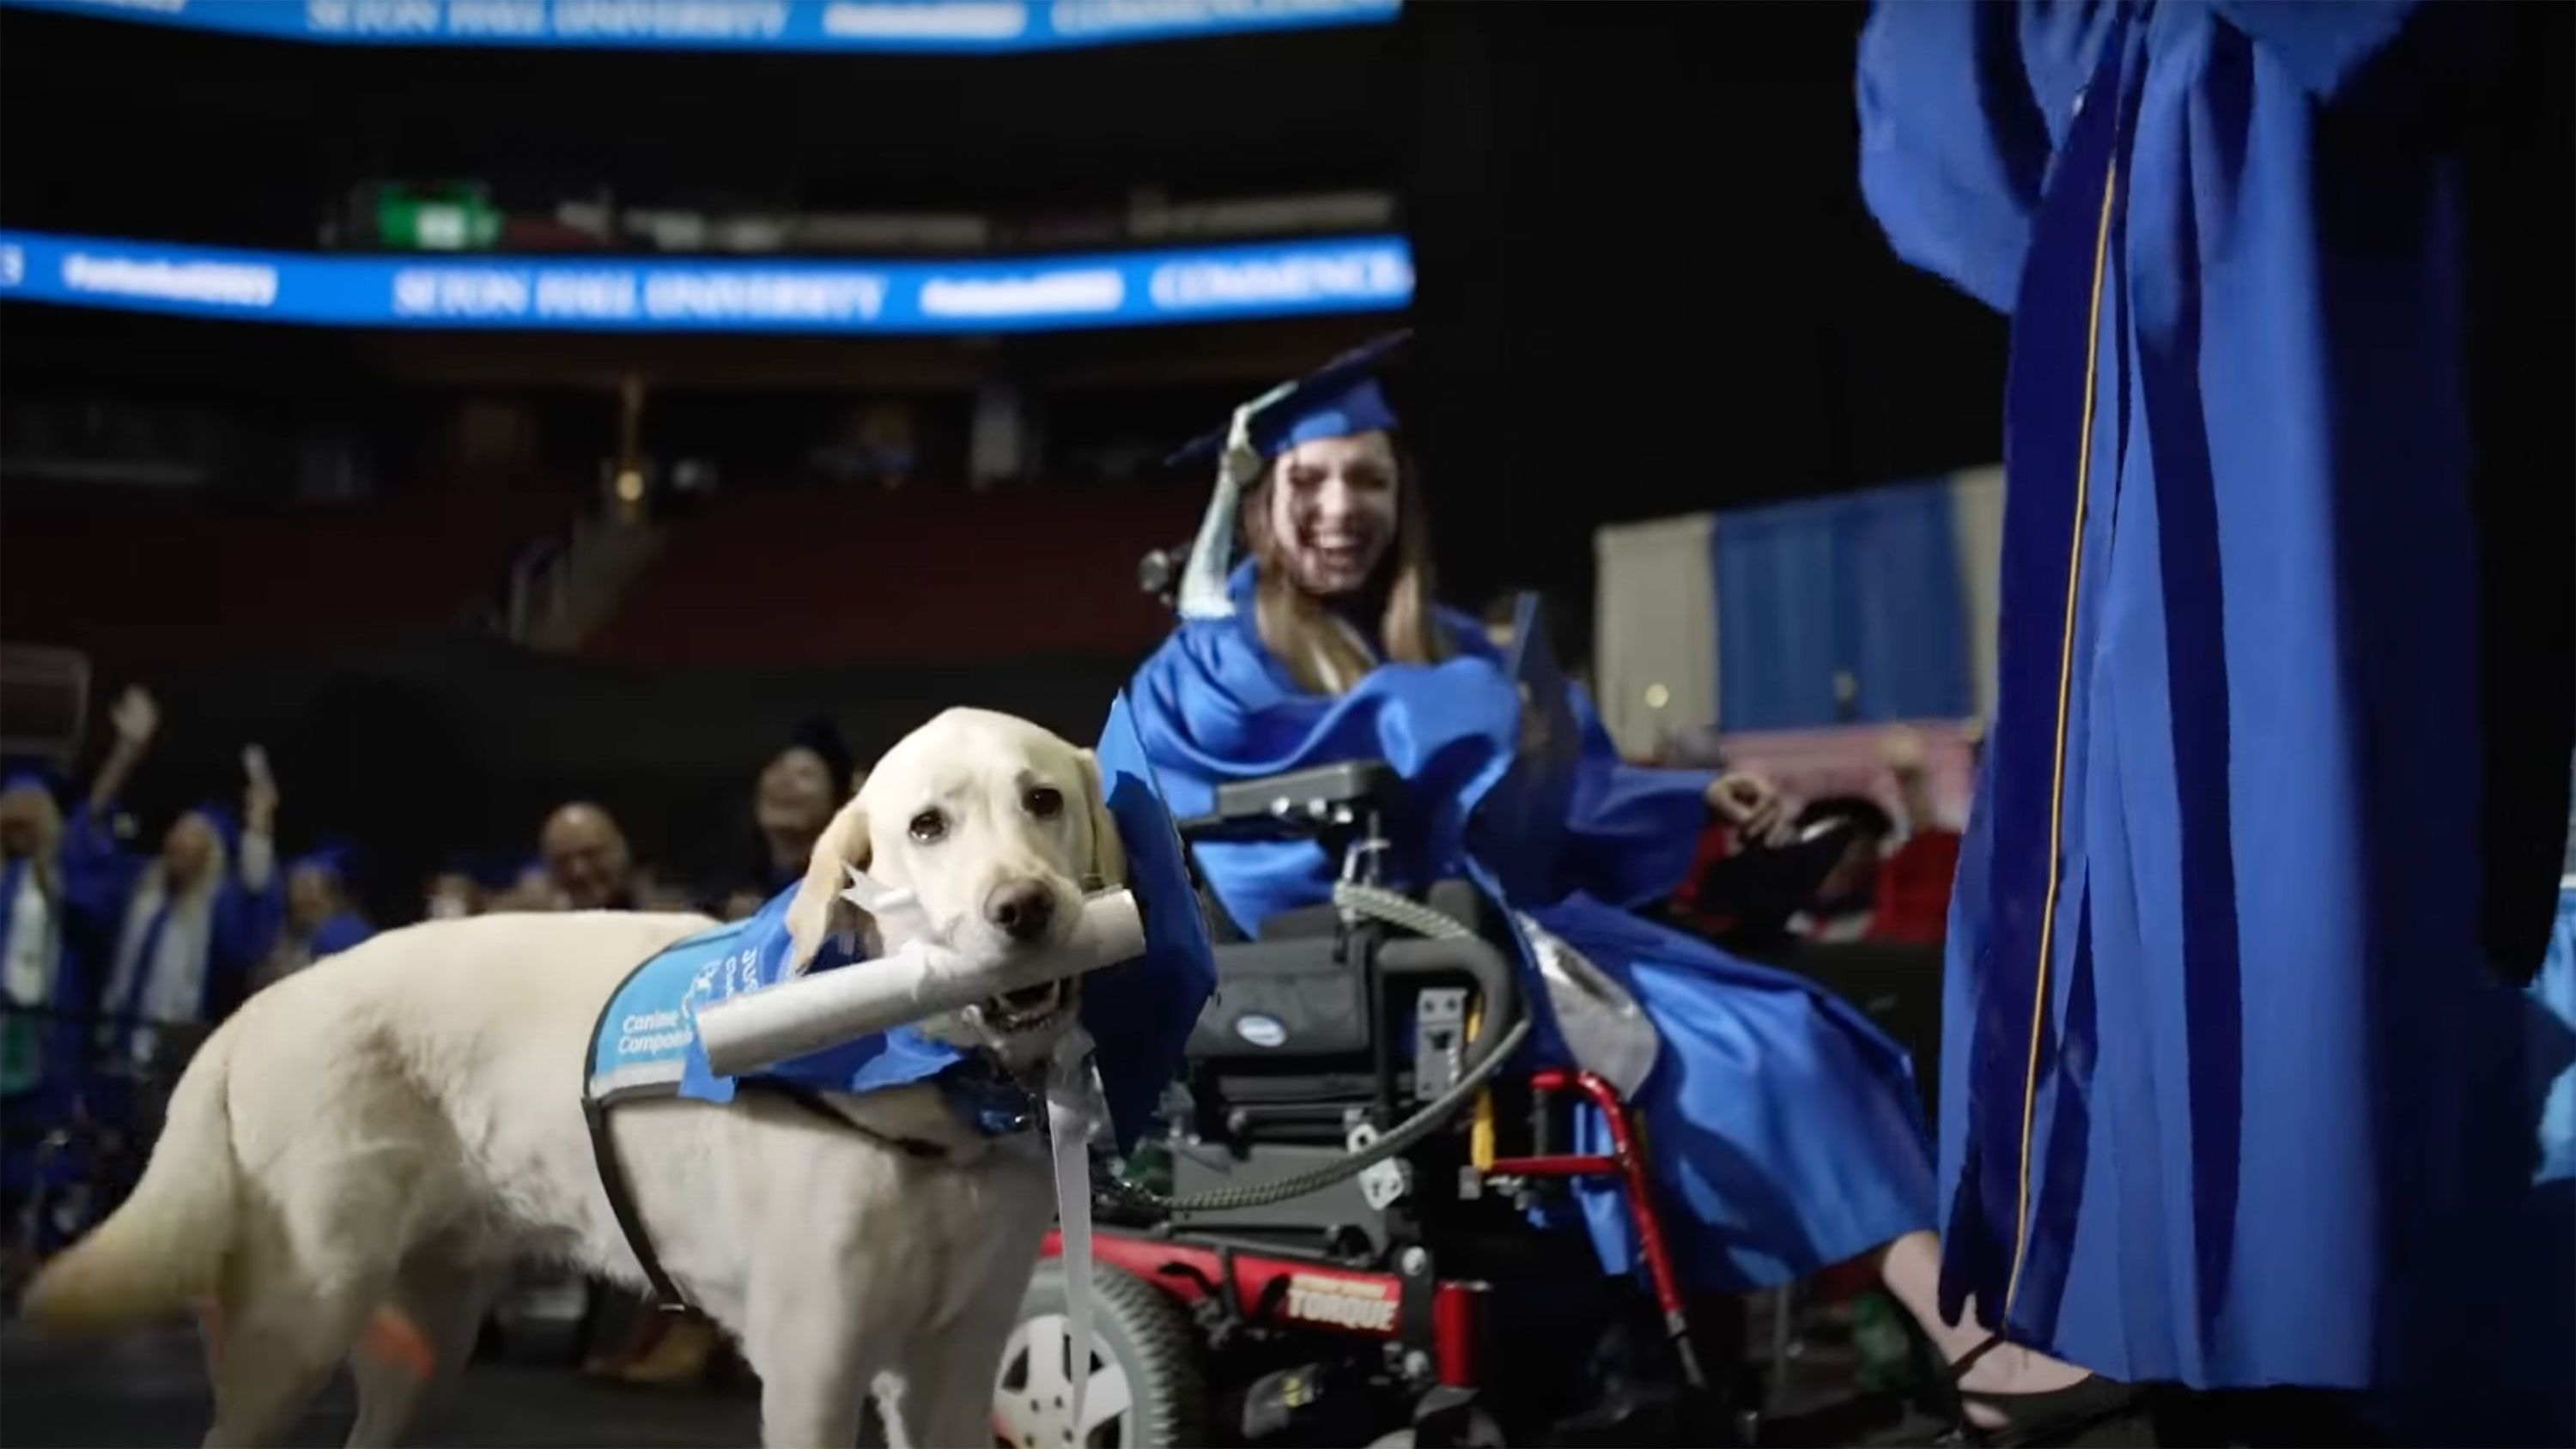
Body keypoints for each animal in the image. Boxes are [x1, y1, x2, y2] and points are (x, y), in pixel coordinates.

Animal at [22, 710, 1128, 1441]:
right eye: (927, 825)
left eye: (1043, 799)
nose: (1025, 908)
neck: (933, 1088)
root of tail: (258, 1005)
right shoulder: (815, 1368)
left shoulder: (955, 1367)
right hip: (294, 1324)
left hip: (422, 1337)